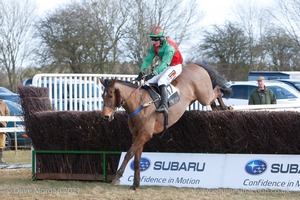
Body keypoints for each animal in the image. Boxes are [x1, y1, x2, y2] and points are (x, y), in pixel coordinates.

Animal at [101, 62, 232, 189]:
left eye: (110, 96)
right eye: (102, 96)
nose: (105, 116)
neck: (139, 103)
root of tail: (197, 65)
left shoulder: (145, 134)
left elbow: (129, 154)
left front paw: (117, 177)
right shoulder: (137, 135)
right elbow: (137, 158)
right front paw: (135, 184)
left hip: (204, 96)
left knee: (217, 90)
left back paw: (226, 107)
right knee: (213, 99)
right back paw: (218, 108)